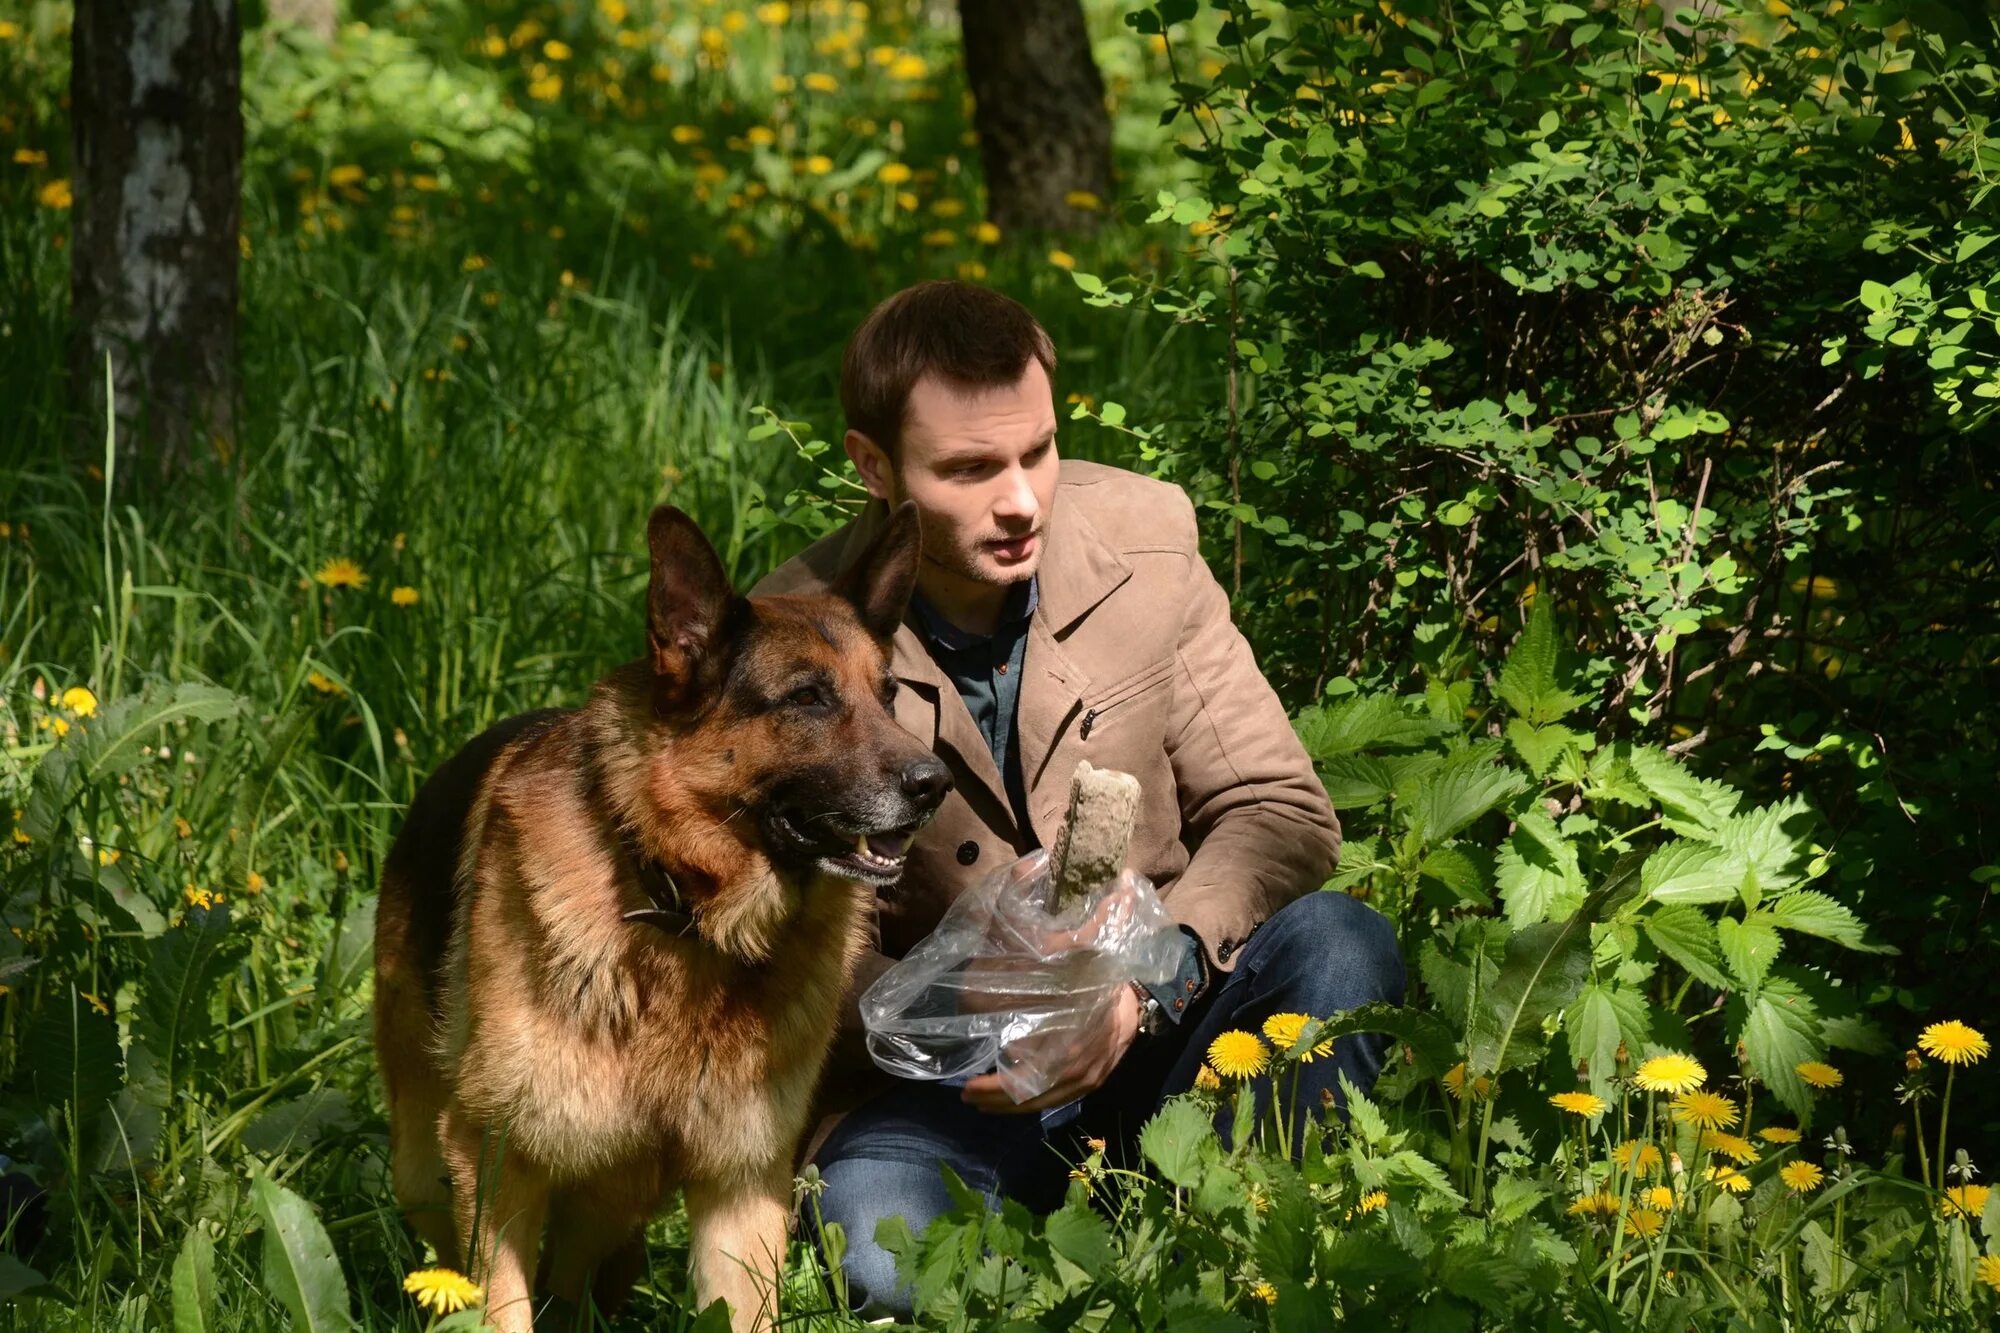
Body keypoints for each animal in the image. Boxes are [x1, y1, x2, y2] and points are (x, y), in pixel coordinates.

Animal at [376, 500, 952, 1328]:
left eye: (890, 693)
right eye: (807, 697)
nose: (934, 783)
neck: (683, 910)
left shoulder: (743, 1189)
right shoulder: (493, 1158)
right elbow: (501, 1306)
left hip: (614, 1194)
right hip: (427, 1169)